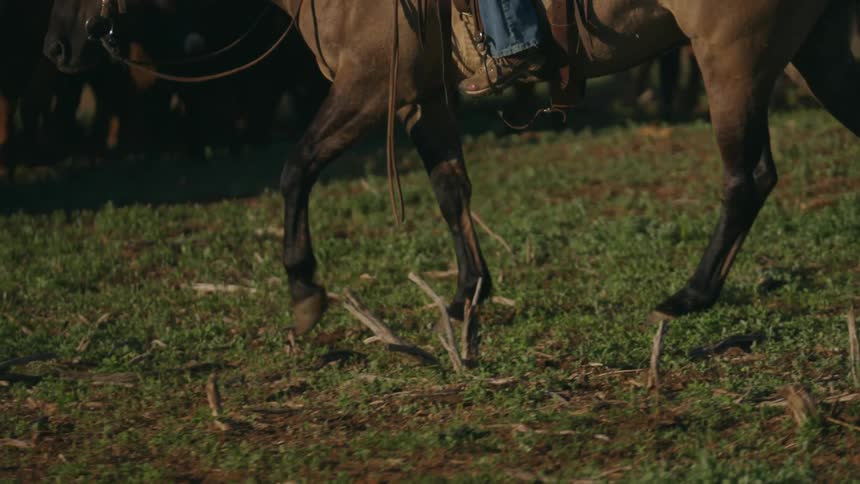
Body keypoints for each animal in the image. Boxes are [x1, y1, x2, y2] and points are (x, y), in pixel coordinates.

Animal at [42, 0, 860, 338]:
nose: (56, 47)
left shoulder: (371, 84)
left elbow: (295, 169)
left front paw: (305, 292)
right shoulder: (421, 95)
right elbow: (449, 188)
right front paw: (467, 296)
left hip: (734, 58)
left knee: (747, 177)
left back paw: (687, 297)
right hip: (816, 47)